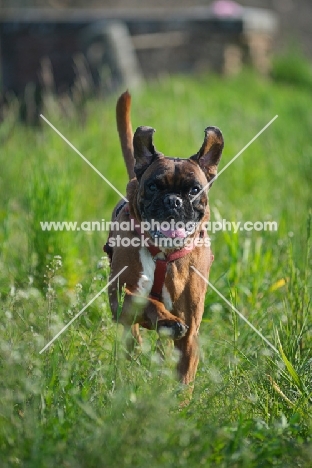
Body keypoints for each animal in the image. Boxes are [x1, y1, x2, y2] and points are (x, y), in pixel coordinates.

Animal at [105, 90, 224, 384]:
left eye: (194, 189)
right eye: (153, 186)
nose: (173, 201)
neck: (164, 253)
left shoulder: (190, 335)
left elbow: (183, 379)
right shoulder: (121, 299)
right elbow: (147, 302)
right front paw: (166, 319)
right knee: (133, 338)